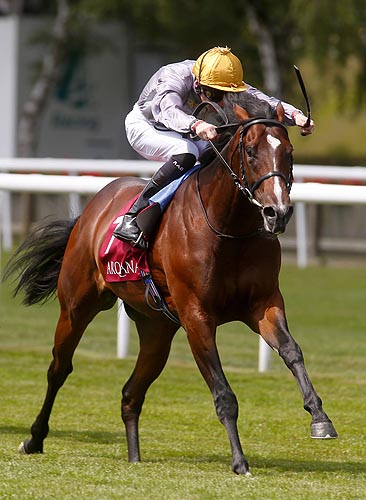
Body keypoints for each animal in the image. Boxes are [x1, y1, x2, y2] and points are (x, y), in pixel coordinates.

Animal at [5, 102, 338, 476]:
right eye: (251, 152)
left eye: (289, 153)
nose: (277, 213)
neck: (229, 229)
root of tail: (93, 208)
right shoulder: (197, 316)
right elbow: (224, 393)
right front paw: (239, 461)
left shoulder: (264, 304)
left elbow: (292, 351)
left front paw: (320, 418)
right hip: (77, 306)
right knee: (59, 369)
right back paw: (34, 438)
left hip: (157, 329)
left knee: (131, 393)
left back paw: (134, 458)